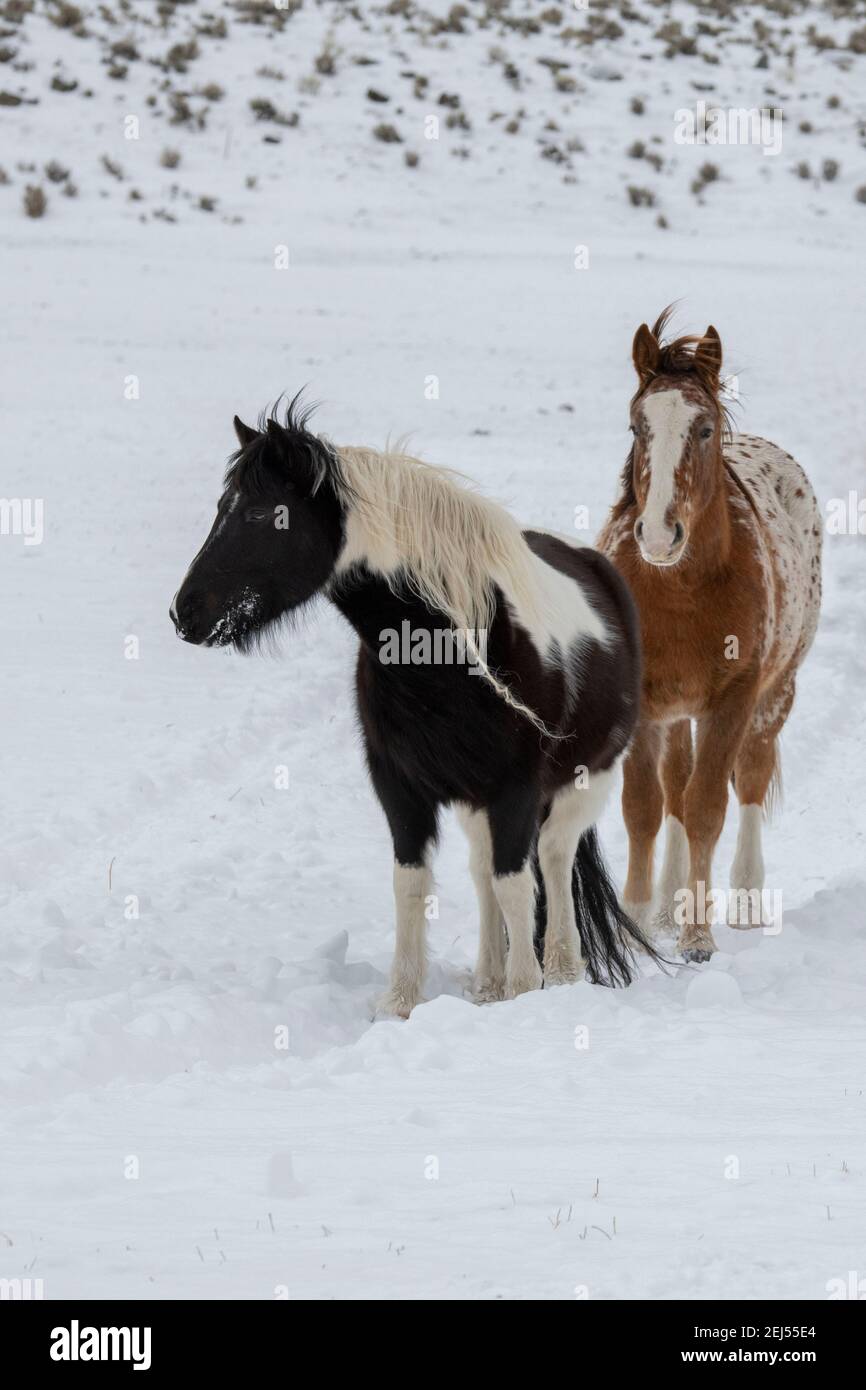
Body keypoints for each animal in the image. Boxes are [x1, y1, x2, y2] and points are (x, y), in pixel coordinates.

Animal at [171, 398, 659, 1016]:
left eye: (261, 514)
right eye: (222, 507)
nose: (185, 612)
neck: (448, 645)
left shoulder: (516, 789)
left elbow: (517, 882)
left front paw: (526, 993)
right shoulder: (400, 786)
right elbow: (413, 882)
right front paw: (400, 1004)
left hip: (585, 780)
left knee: (552, 856)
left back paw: (562, 973)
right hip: (479, 800)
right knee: (484, 869)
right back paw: (489, 984)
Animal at [598, 310, 822, 961]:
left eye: (703, 429)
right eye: (637, 425)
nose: (658, 534)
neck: (679, 593)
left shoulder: (732, 699)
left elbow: (706, 806)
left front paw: (698, 935)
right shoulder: (646, 704)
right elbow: (645, 808)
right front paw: (639, 921)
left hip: (776, 693)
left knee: (749, 776)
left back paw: (744, 899)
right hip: (677, 713)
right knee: (674, 783)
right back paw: (666, 903)